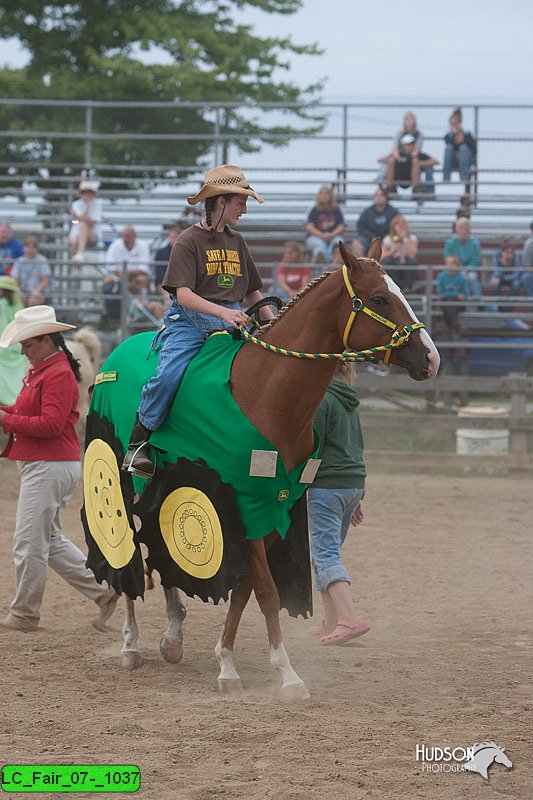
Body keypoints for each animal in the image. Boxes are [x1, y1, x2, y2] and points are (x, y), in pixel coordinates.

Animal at [81, 241, 438, 696]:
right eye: (378, 299)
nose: (431, 357)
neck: (267, 393)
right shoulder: (242, 507)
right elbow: (266, 592)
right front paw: (286, 673)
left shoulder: (272, 512)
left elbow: (244, 590)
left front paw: (227, 662)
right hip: (120, 480)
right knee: (127, 555)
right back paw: (130, 643)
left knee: (160, 558)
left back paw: (173, 637)